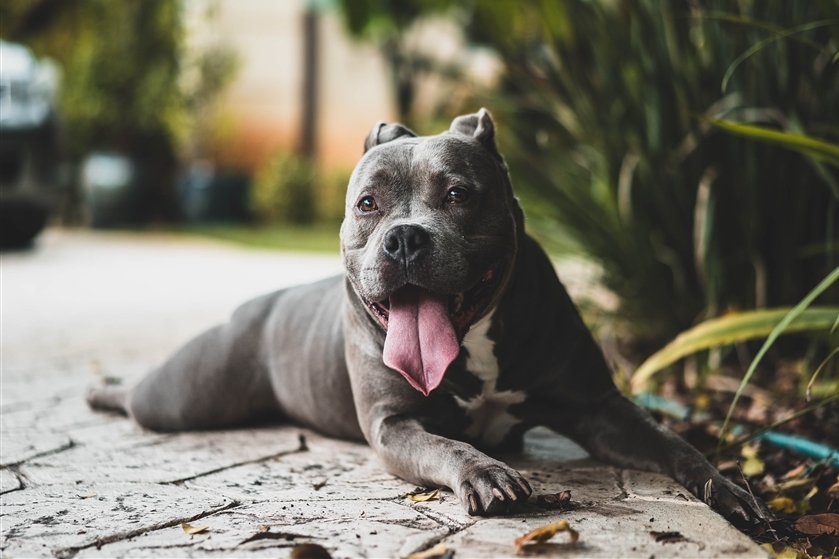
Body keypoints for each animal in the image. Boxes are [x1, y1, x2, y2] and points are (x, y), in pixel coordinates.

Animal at [88, 108, 772, 524]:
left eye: (458, 194)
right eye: (367, 204)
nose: (405, 238)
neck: (474, 342)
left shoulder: (598, 408)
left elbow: (671, 442)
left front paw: (727, 488)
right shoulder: (395, 425)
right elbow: (446, 444)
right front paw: (487, 473)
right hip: (186, 394)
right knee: (142, 398)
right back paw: (103, 391)